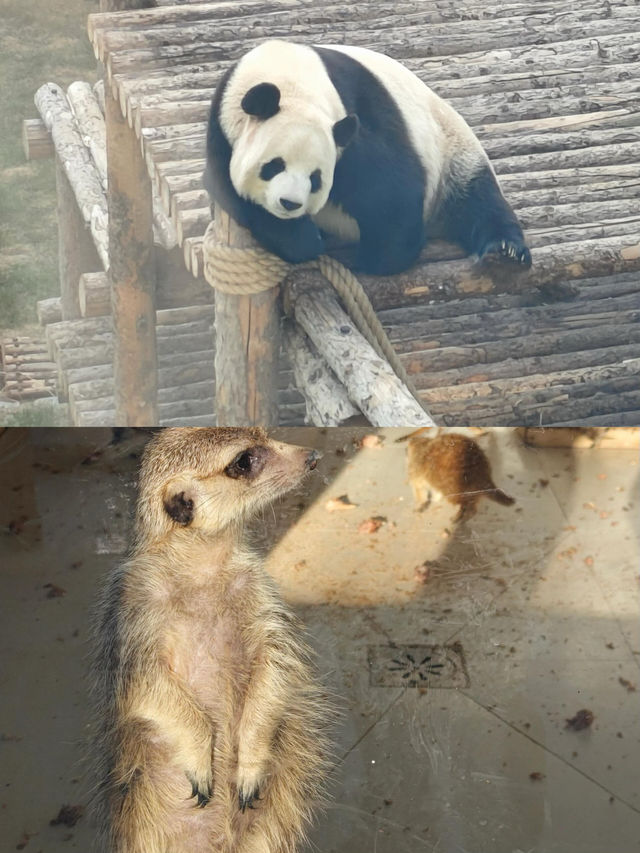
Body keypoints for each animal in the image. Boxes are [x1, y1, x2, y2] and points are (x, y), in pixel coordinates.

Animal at [205, 40, 528, 274]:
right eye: (273, 166)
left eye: (315, 178)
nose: (290, 204)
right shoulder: (222, 135)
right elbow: (236, 196)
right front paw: (303, 241)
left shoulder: (355, 114)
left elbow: (389, 185)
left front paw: (381, 259)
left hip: (452, 149)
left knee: (477, 199)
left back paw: (505, 251)